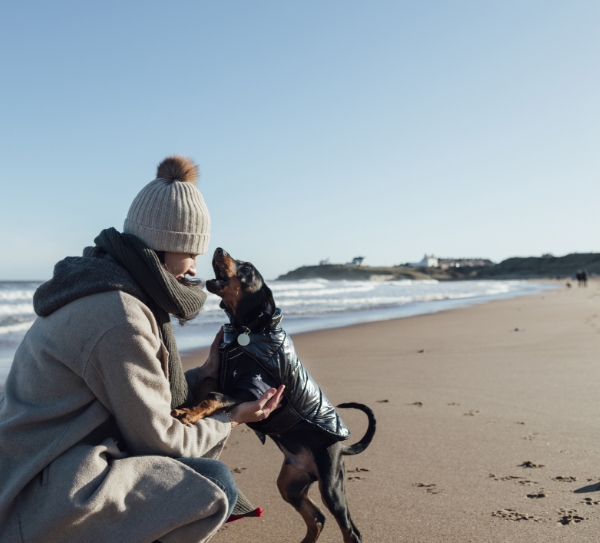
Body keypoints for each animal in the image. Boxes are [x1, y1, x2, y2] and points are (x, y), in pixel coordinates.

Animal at [171, 249, 376, 543]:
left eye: (247, 268)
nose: (219, 250)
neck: (245, 332)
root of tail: (341, 448)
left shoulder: (252, 388)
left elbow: (213, 396)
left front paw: (188, 413)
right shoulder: (219, 374)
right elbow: (205, 387)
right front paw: (186, 408)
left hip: (331, 484)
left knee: (350, 530)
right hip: (290, 483)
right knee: (318, 518)